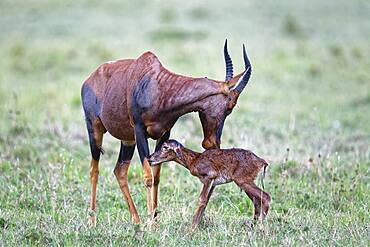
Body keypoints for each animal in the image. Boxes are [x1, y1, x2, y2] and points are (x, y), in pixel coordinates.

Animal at [81, 39, 251, 225]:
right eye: (230, 107)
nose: (213, 143)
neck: (157, 86)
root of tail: (90, 78)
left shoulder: (164, 134)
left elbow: (156, 176)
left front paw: (154, 220)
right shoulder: (139, 131)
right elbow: (148, 177)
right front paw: (150, 222)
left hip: (127, 140)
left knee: (120, 171)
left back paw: (136, 221)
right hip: (95, 129)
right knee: (94, 170)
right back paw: (92, 220)